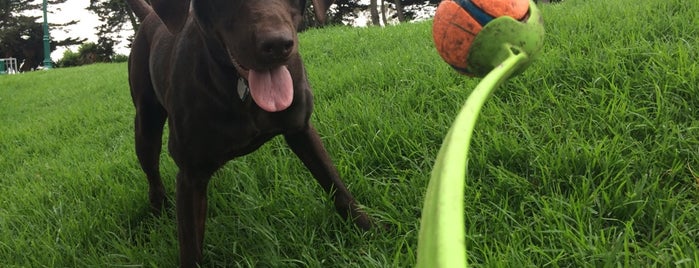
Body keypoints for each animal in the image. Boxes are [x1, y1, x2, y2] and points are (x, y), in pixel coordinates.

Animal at [122, 0, 372, 264]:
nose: (277, 45)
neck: (242, 90)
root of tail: (150, 15)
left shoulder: (302, 129)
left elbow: (337, 187)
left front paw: (371, 231)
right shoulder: (190, 174)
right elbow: (190, 249)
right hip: (146, 127)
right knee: (153, 177)